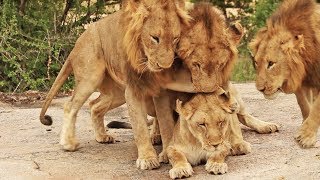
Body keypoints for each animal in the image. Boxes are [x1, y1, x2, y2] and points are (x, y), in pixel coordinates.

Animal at [38, 0, 196, 170]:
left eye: (175, 39)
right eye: (155, 38)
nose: (165, 66)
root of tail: (77, 43)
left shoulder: (161, 91)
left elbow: (166, 123)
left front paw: (166, 153)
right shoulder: (133, 91)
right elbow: (140, 127)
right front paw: (147, 159)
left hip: (117, 93)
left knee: (94, 105)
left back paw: (102, 136)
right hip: (91, 77)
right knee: (70, 105)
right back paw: (69, 144)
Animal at [250, 0, 320, 148]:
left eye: (271, 63)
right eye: (256, 62)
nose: (260, 89)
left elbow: (317, 107)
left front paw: (306, 136)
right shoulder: (298, 80)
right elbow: (304, 105)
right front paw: (305, 126)